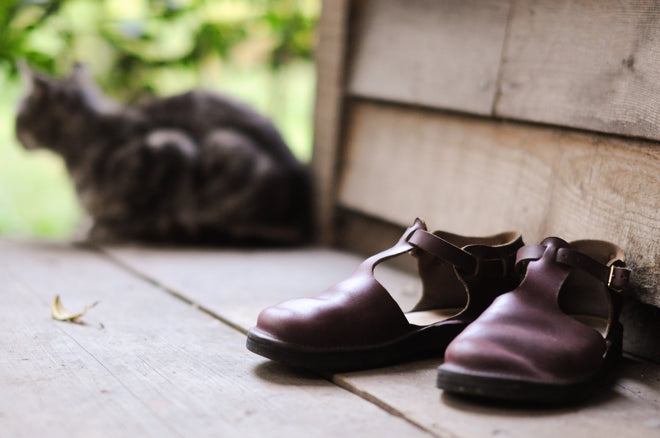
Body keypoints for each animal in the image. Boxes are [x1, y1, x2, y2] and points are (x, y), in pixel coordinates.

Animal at [15, 63, 314, 245]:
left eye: (20, 114)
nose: (13, 134)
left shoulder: (173, 148)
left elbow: (137, 213)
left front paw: (105, 229)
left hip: (222, 145)